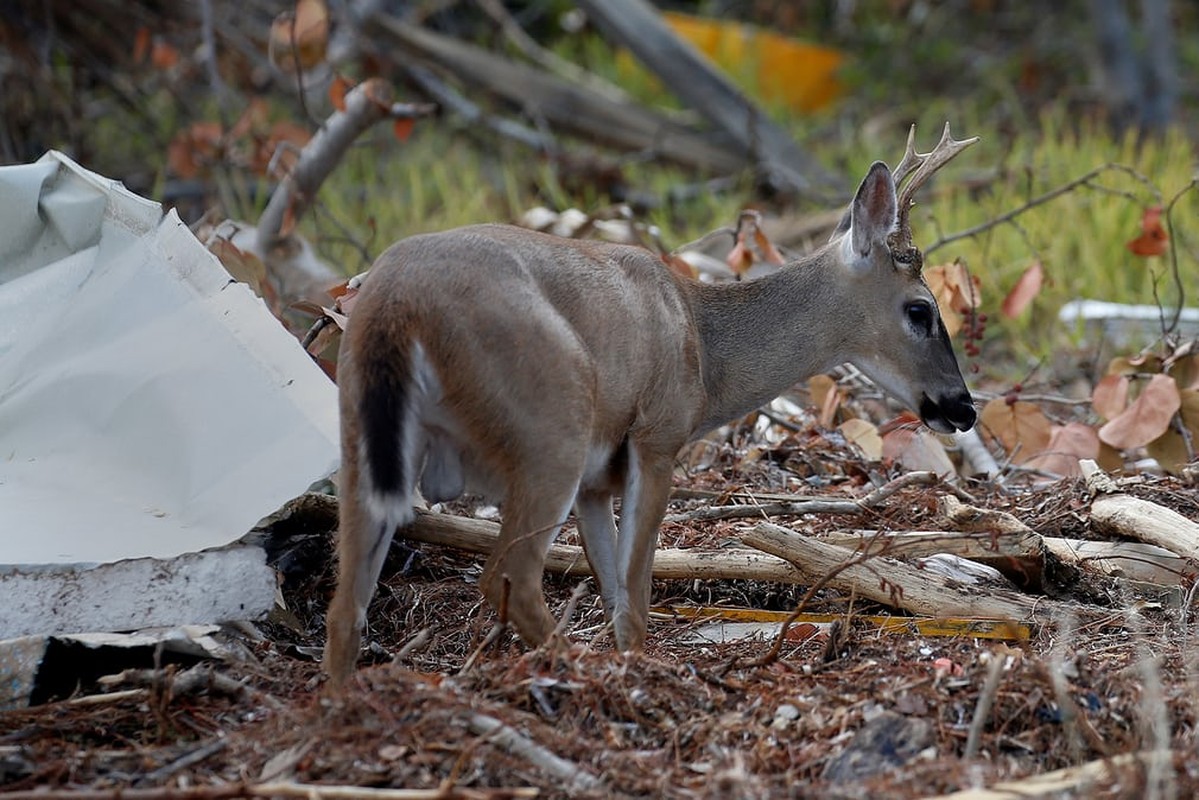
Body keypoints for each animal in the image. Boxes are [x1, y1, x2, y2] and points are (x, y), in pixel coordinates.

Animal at [323, 122, 978, 686]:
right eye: (920, 310)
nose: (965, 408)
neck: (704, 347)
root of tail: (398, 305)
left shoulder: (595, 482)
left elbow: (614, 591)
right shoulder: (656, 436)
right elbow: (635, 595)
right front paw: (640, 673)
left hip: (362, 435)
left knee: (345, 606)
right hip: (551, 424)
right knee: (509, 574)